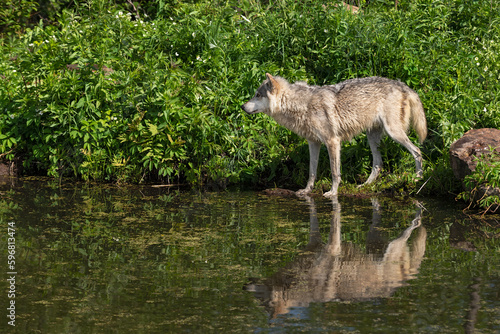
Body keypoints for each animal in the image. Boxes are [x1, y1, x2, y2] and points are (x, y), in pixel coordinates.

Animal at [241, 73, 426, 198]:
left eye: (258, 95)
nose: (242, 107)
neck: (300, 105)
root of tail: (402, 85)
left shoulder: (332, 141)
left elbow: (334, 172)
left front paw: (332, 192)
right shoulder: (313, 143)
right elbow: (312, 171)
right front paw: (307, 190)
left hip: (394, 133)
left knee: (417, 151)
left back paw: (417, 178)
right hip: (372, 137)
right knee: (378, 163)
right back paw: (364, 186)